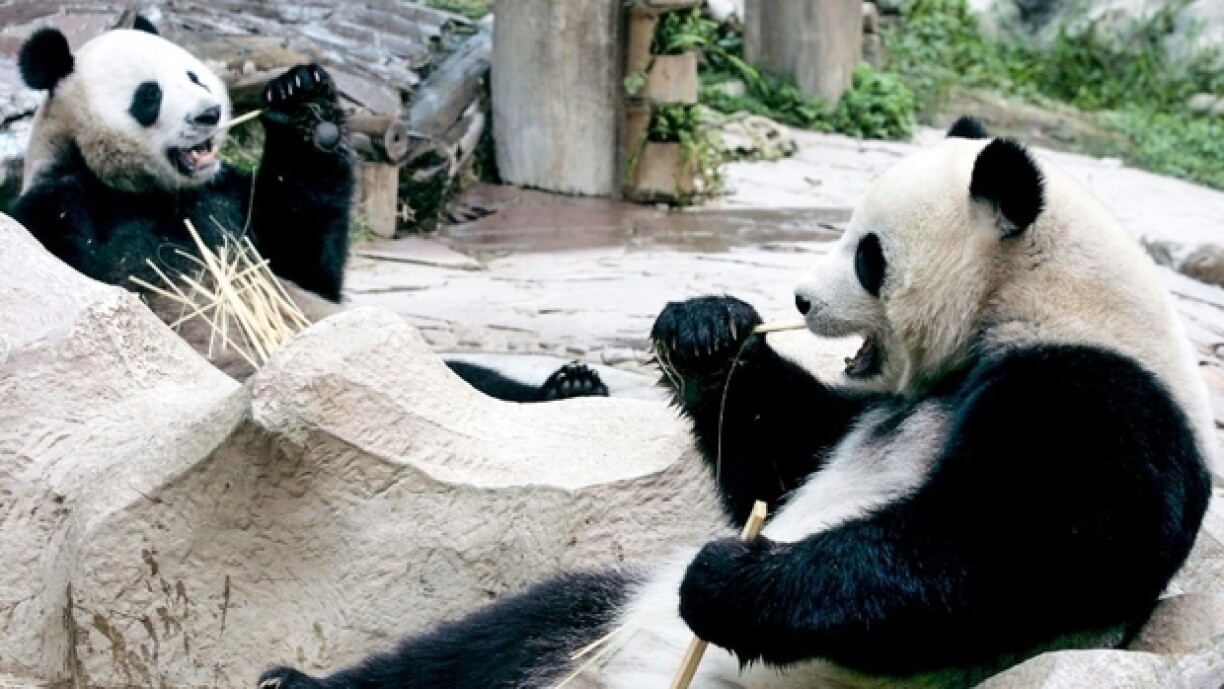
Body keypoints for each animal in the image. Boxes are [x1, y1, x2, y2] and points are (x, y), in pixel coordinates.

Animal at [9, 21, 606, 403]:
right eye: (149, 95)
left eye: (194, 76)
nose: (208, 114)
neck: (150, 190)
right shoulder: (59, 204)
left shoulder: (230, 203)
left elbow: (306, 260)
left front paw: (306, 106)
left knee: (469, 382)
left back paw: (569, 386)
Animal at [256, 116, 1215, 687]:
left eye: (868, 252)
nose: (799, 298)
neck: (1039, 295)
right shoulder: (877, 408)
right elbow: (781, 457)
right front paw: (705, 333)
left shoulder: (1099, 396)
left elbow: (1004, 550)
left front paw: (734, 581)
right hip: (595, 621)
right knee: (494, 638)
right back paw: (295, 681)